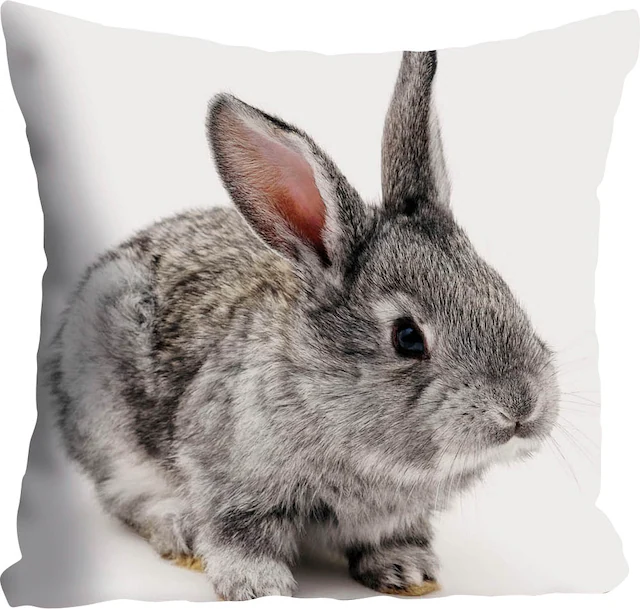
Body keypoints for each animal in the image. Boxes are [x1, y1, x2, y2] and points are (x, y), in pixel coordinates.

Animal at [48, 50, 559, 601]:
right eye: (407, 337)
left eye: (503, 291)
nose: (521, 407)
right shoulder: (230, 479)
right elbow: (238, 534)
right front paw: (257, 586)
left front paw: (407, 572)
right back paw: (177, 530)